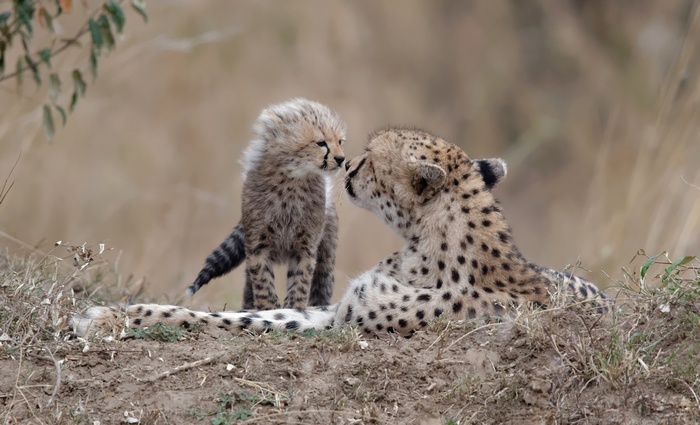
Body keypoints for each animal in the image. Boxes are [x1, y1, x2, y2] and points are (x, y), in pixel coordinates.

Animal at [72, 127, 610, 338]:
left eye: (370, 158)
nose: (347, 164)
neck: (424, 244)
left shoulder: (346, 322)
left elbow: (238, 322)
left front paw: (107, 317)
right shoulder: (336, 309)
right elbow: (254, 314)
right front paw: (113, 312)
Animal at [184, 98, 347, 310]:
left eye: (340, 141)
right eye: (320, 143)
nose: (341, 159)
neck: (292, 180)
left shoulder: (306, 249)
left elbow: (300, 284)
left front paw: (293, 310)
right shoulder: (257, 247)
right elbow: (263, 284)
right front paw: (269, 309)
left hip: (326, 253)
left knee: (323, 281)